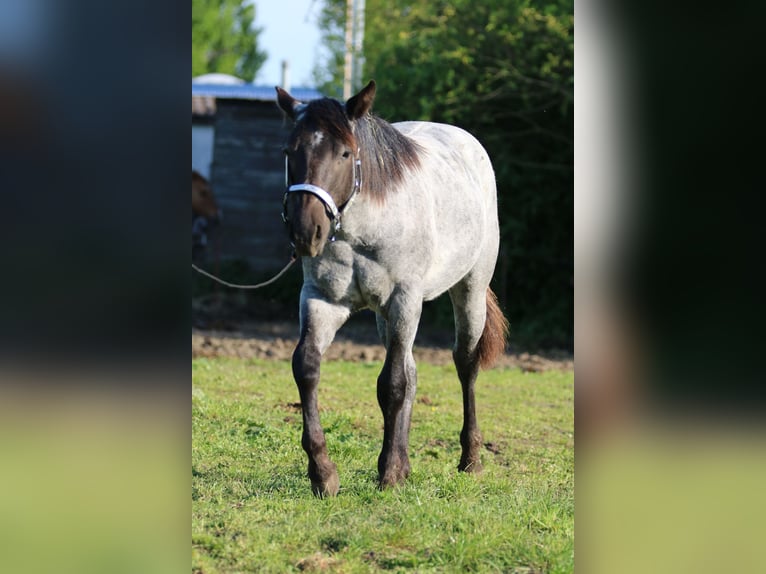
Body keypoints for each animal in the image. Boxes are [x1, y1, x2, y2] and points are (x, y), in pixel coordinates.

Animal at [276, 81, 510, 500]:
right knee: (412, 370)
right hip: (386, 317)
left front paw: (386, 473)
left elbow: (392, 385)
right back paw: (405, 464)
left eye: (345, 152)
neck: (361, 231)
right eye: (290, 152)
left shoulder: (404, 301)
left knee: (464, 364)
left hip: (468, 290)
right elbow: (307, 367)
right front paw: (323, 473)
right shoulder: (322, 300)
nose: (305, 231)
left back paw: (470, 460)